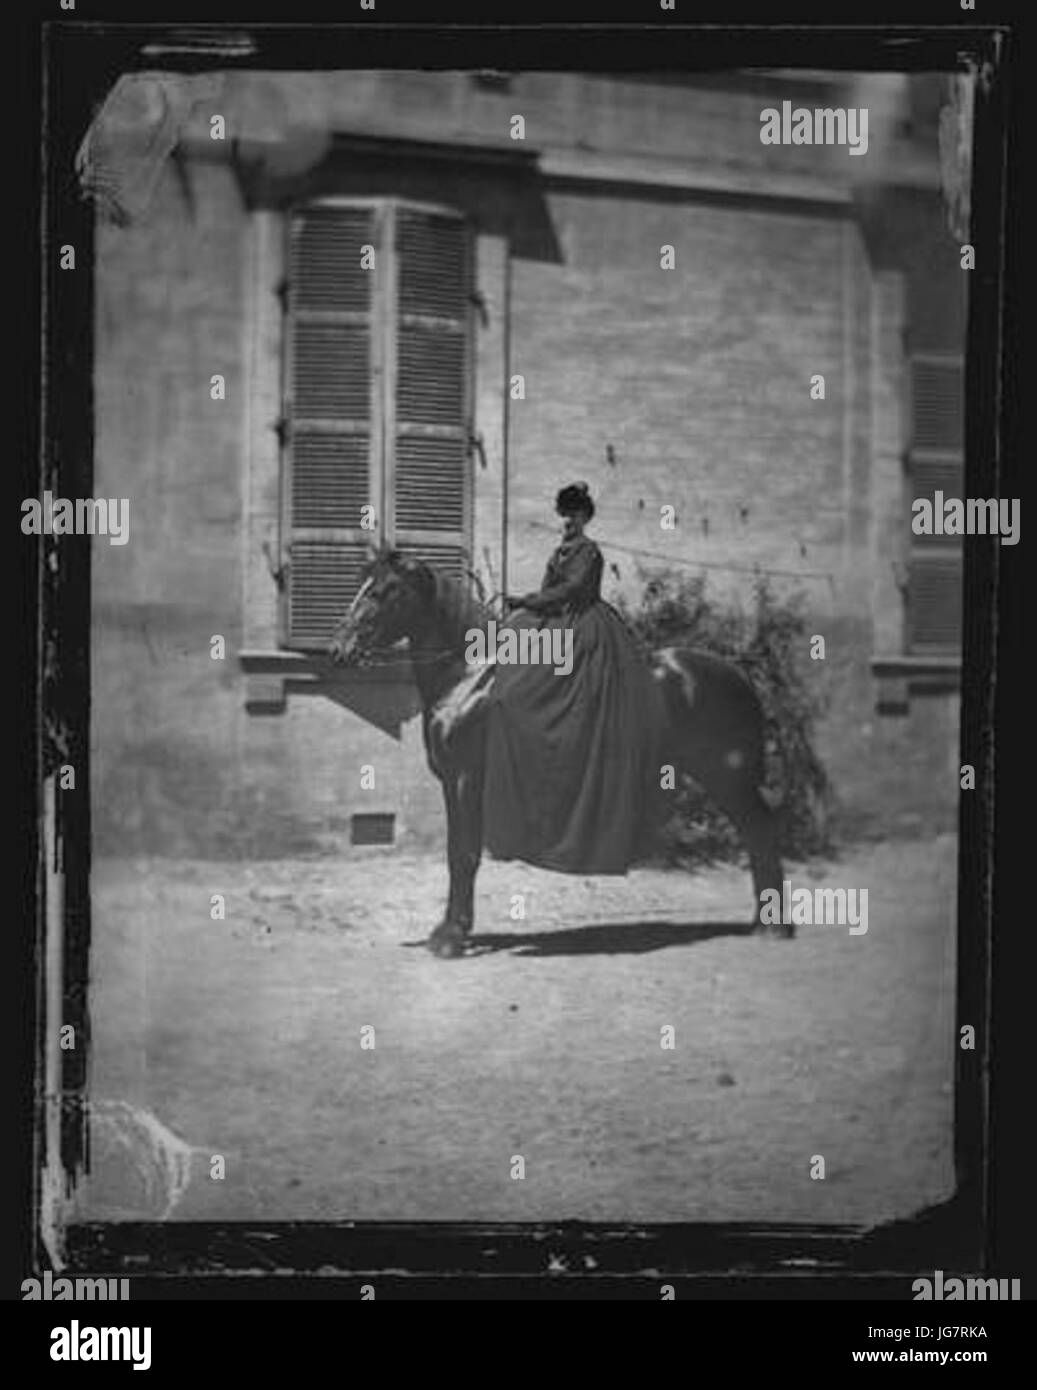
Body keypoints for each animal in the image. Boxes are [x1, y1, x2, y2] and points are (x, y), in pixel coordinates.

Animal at [328, 547, 789, 958]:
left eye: (382, 591)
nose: (338, 650)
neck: (469, 675)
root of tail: (736, 674)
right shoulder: (450, 781)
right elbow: (457, 853)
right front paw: (451, 929)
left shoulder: (465, 778)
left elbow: (463, 854)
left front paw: (450, 937)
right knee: (756, 832)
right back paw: (763, 924)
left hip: (729, 776)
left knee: (762, 831)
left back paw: (773, 928)